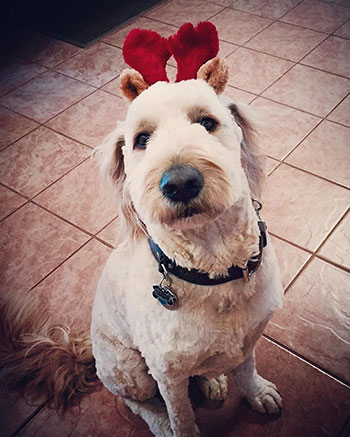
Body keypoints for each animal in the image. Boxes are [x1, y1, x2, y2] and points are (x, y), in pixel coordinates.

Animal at [0, 23, 284, 436]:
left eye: (207, 123)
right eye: (142, 140)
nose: (180, 183)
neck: (213, 267)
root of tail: (88, 350)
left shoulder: (249, 338)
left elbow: (246, 369)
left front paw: (256, 392)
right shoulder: (166, 373)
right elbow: (181, 414)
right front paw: (180, 425)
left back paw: (212, 378)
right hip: (130, 370)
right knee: (136, 402)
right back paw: (163, 419)